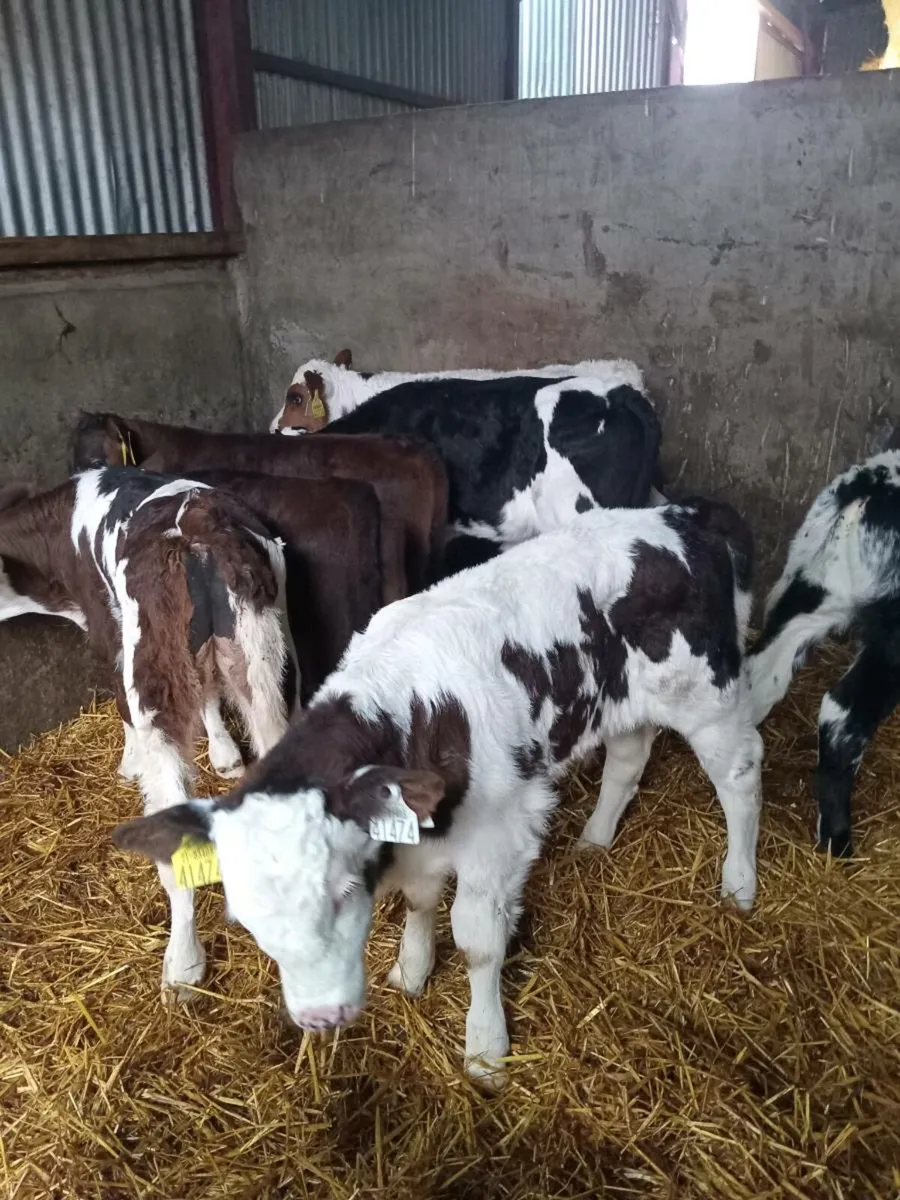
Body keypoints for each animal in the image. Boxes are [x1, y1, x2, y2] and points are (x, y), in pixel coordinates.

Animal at [113, 497, 761, 1088]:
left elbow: (478, 940)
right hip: (623, 700)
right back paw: (595, 840)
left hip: (707, 695)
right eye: (248, 919)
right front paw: (412, 969)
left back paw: (739, 884)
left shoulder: (498, 833)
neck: (414, 712)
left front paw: (486, 1050)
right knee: (629, 757)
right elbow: (419, 898)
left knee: (741, 774)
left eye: (345, 892)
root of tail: (683, 517)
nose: (320, 1014)